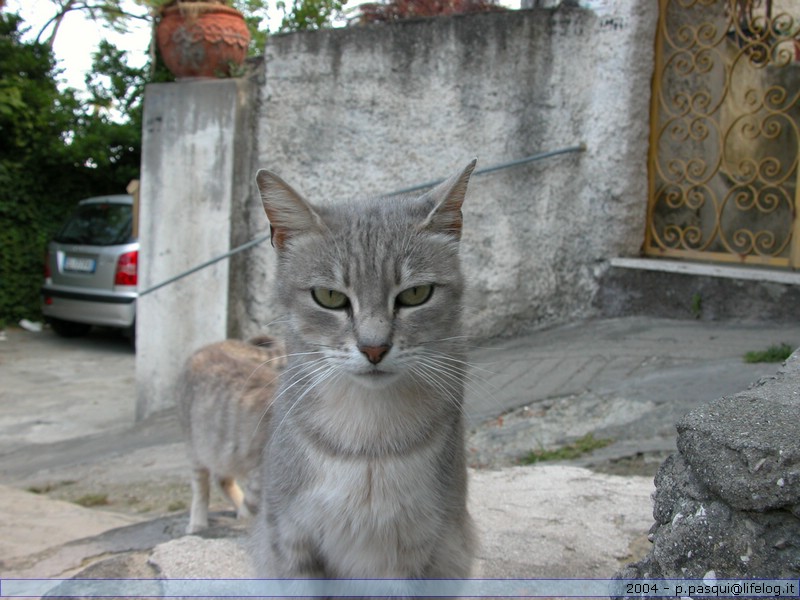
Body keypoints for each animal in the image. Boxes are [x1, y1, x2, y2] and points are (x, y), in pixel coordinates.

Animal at [177, 332, 284, 536]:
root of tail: (215, 346)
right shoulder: (261, 476)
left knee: (222, 480)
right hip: (197, 447)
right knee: (202, 487)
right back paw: (198, 522)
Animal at [250, 161, 478, 580]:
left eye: (416, 294)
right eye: (329, 297)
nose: (374, 348)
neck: (368, 441)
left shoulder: (426, 550)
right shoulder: (290, 543)